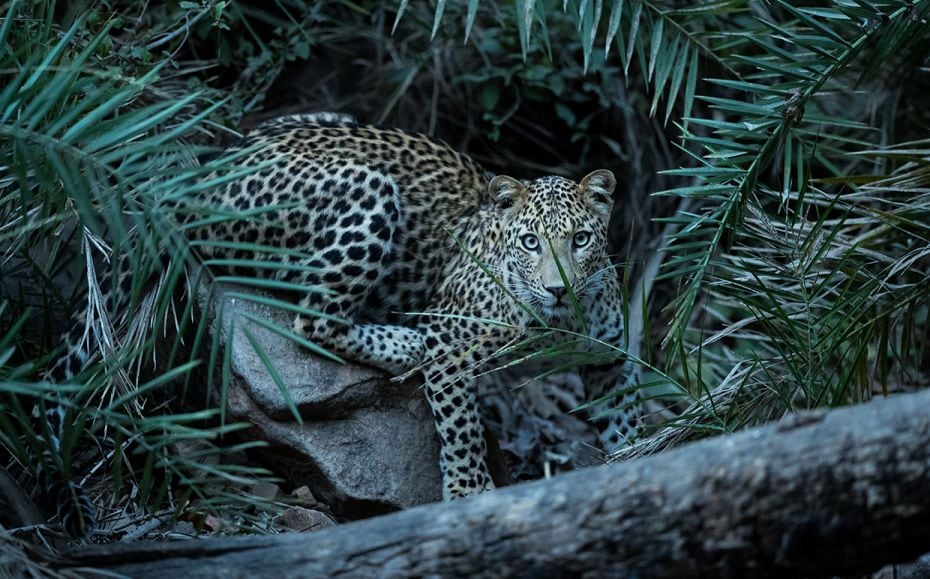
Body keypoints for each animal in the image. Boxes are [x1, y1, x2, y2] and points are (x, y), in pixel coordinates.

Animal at [41, 112, 640, 536]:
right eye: (530, 242)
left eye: (580, 240)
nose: (558, 289)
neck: (559, 322)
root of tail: (200, 171)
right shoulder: (454, 340)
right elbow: (463, 430)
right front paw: (470, 495)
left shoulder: (610, 358)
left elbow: (626, 416)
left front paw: (639, 460)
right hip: (365, 191)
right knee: (312, 316)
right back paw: (402, 341)